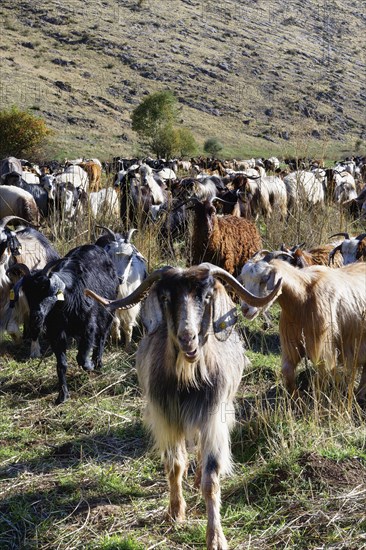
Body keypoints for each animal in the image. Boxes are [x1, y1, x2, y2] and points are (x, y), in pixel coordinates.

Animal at [86, 264, 280, 550]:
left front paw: (216, 537)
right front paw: (176, 512)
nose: (188, 338)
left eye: (208, 296)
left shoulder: (213, 419)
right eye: (166, 298)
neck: (189, 380)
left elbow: (211, 478)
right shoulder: (167, 418)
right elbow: (174, 465)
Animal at [237, 258, 366, 402]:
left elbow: (323, 376)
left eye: (264, 278)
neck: (303, 297)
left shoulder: (322, 347)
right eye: (244, 279)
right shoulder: (292, 343)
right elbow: (287, 373)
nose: (245, 309)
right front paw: (297, 397)